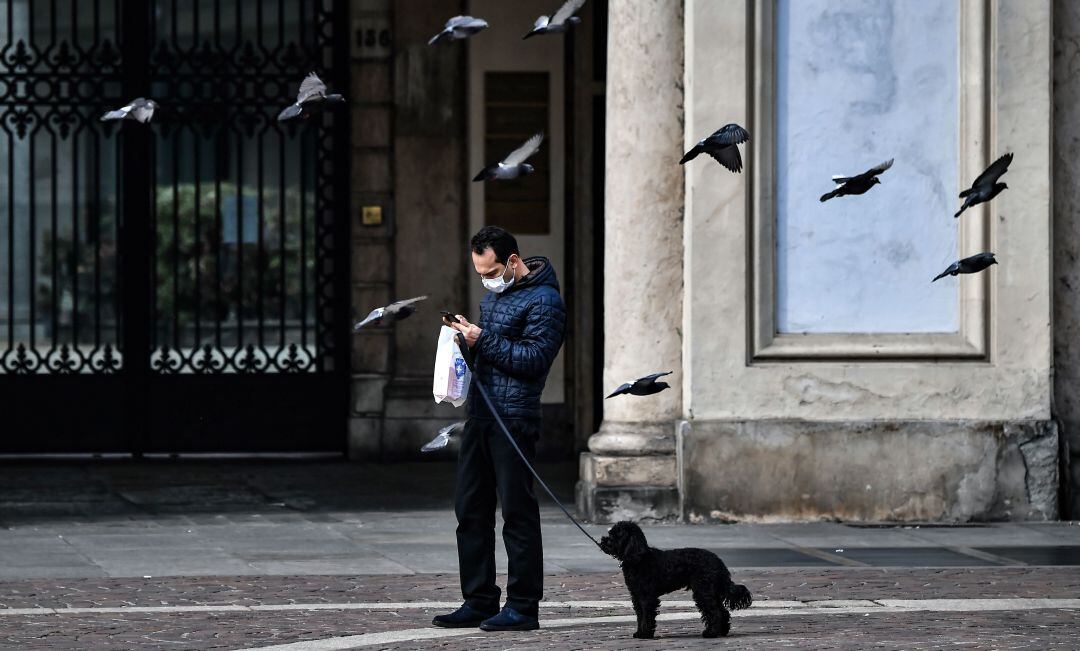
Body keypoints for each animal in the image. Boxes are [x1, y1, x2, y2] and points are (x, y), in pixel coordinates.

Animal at [600, 522, 751, 639]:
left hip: (703, 591)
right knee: (722, 612)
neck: (638, 558)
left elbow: (647, 616)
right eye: (610, 533)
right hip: (711, 591)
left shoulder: (647, 597)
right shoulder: (636, 596)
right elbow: (640, 615)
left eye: (616, 535)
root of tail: (719, 562)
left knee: (715, 612)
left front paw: (645, 634)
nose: (602, 540)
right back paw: (722, 631)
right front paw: (639, 633)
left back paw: (711, 633)